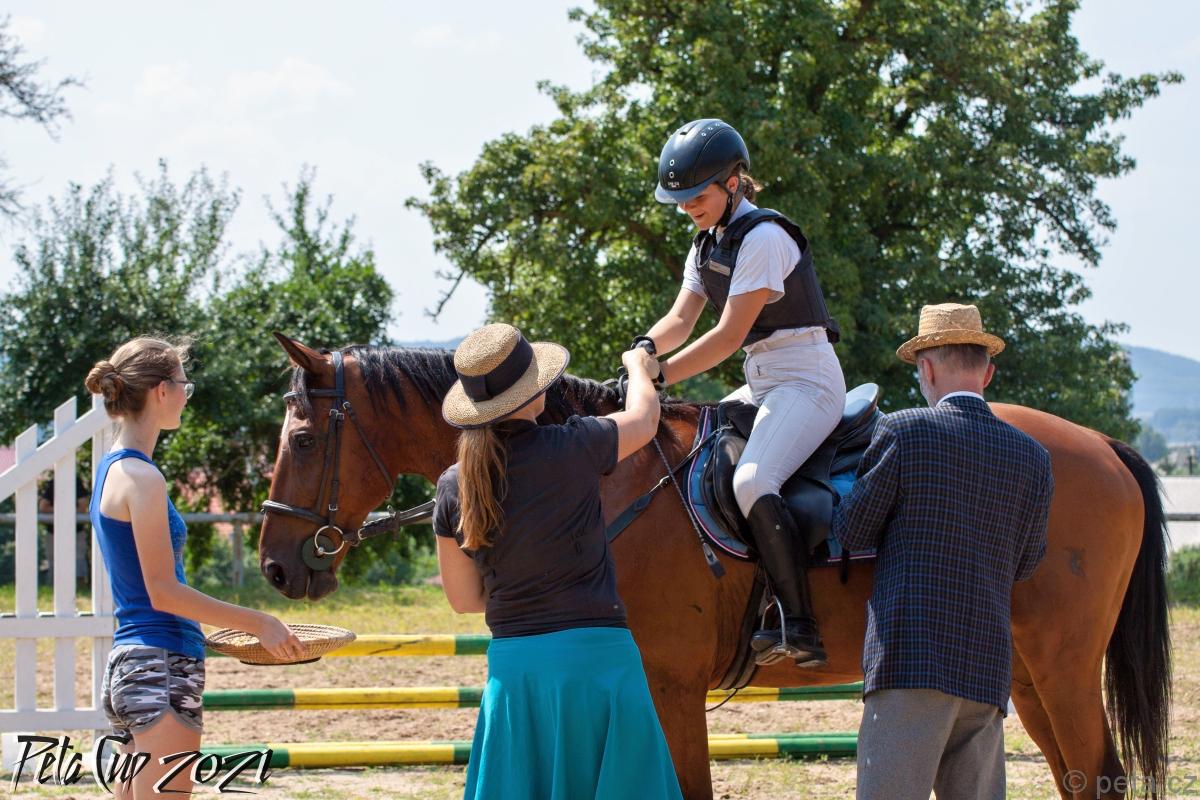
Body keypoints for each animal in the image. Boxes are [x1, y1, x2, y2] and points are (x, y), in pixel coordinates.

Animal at [258, 334, 1170, 800]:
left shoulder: (668, 687)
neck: (610, 475)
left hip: (1059, 665)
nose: (276, 567)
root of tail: (1102, 447)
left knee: (1097, 775)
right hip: (1021, 672)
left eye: (300, 439)